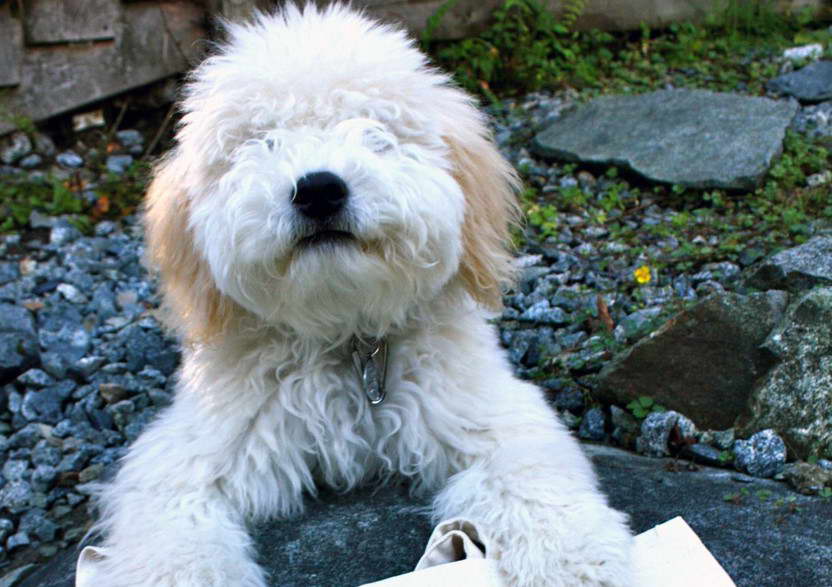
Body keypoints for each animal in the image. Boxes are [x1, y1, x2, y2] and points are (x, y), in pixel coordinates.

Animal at [91, 5, 632, 587]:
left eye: (376, 130)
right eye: (260, 139)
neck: (347, 337)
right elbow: (170, 532)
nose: (318, 189)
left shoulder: (483, 409)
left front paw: (575, 558)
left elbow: (533, 480)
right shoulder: (192, 448)